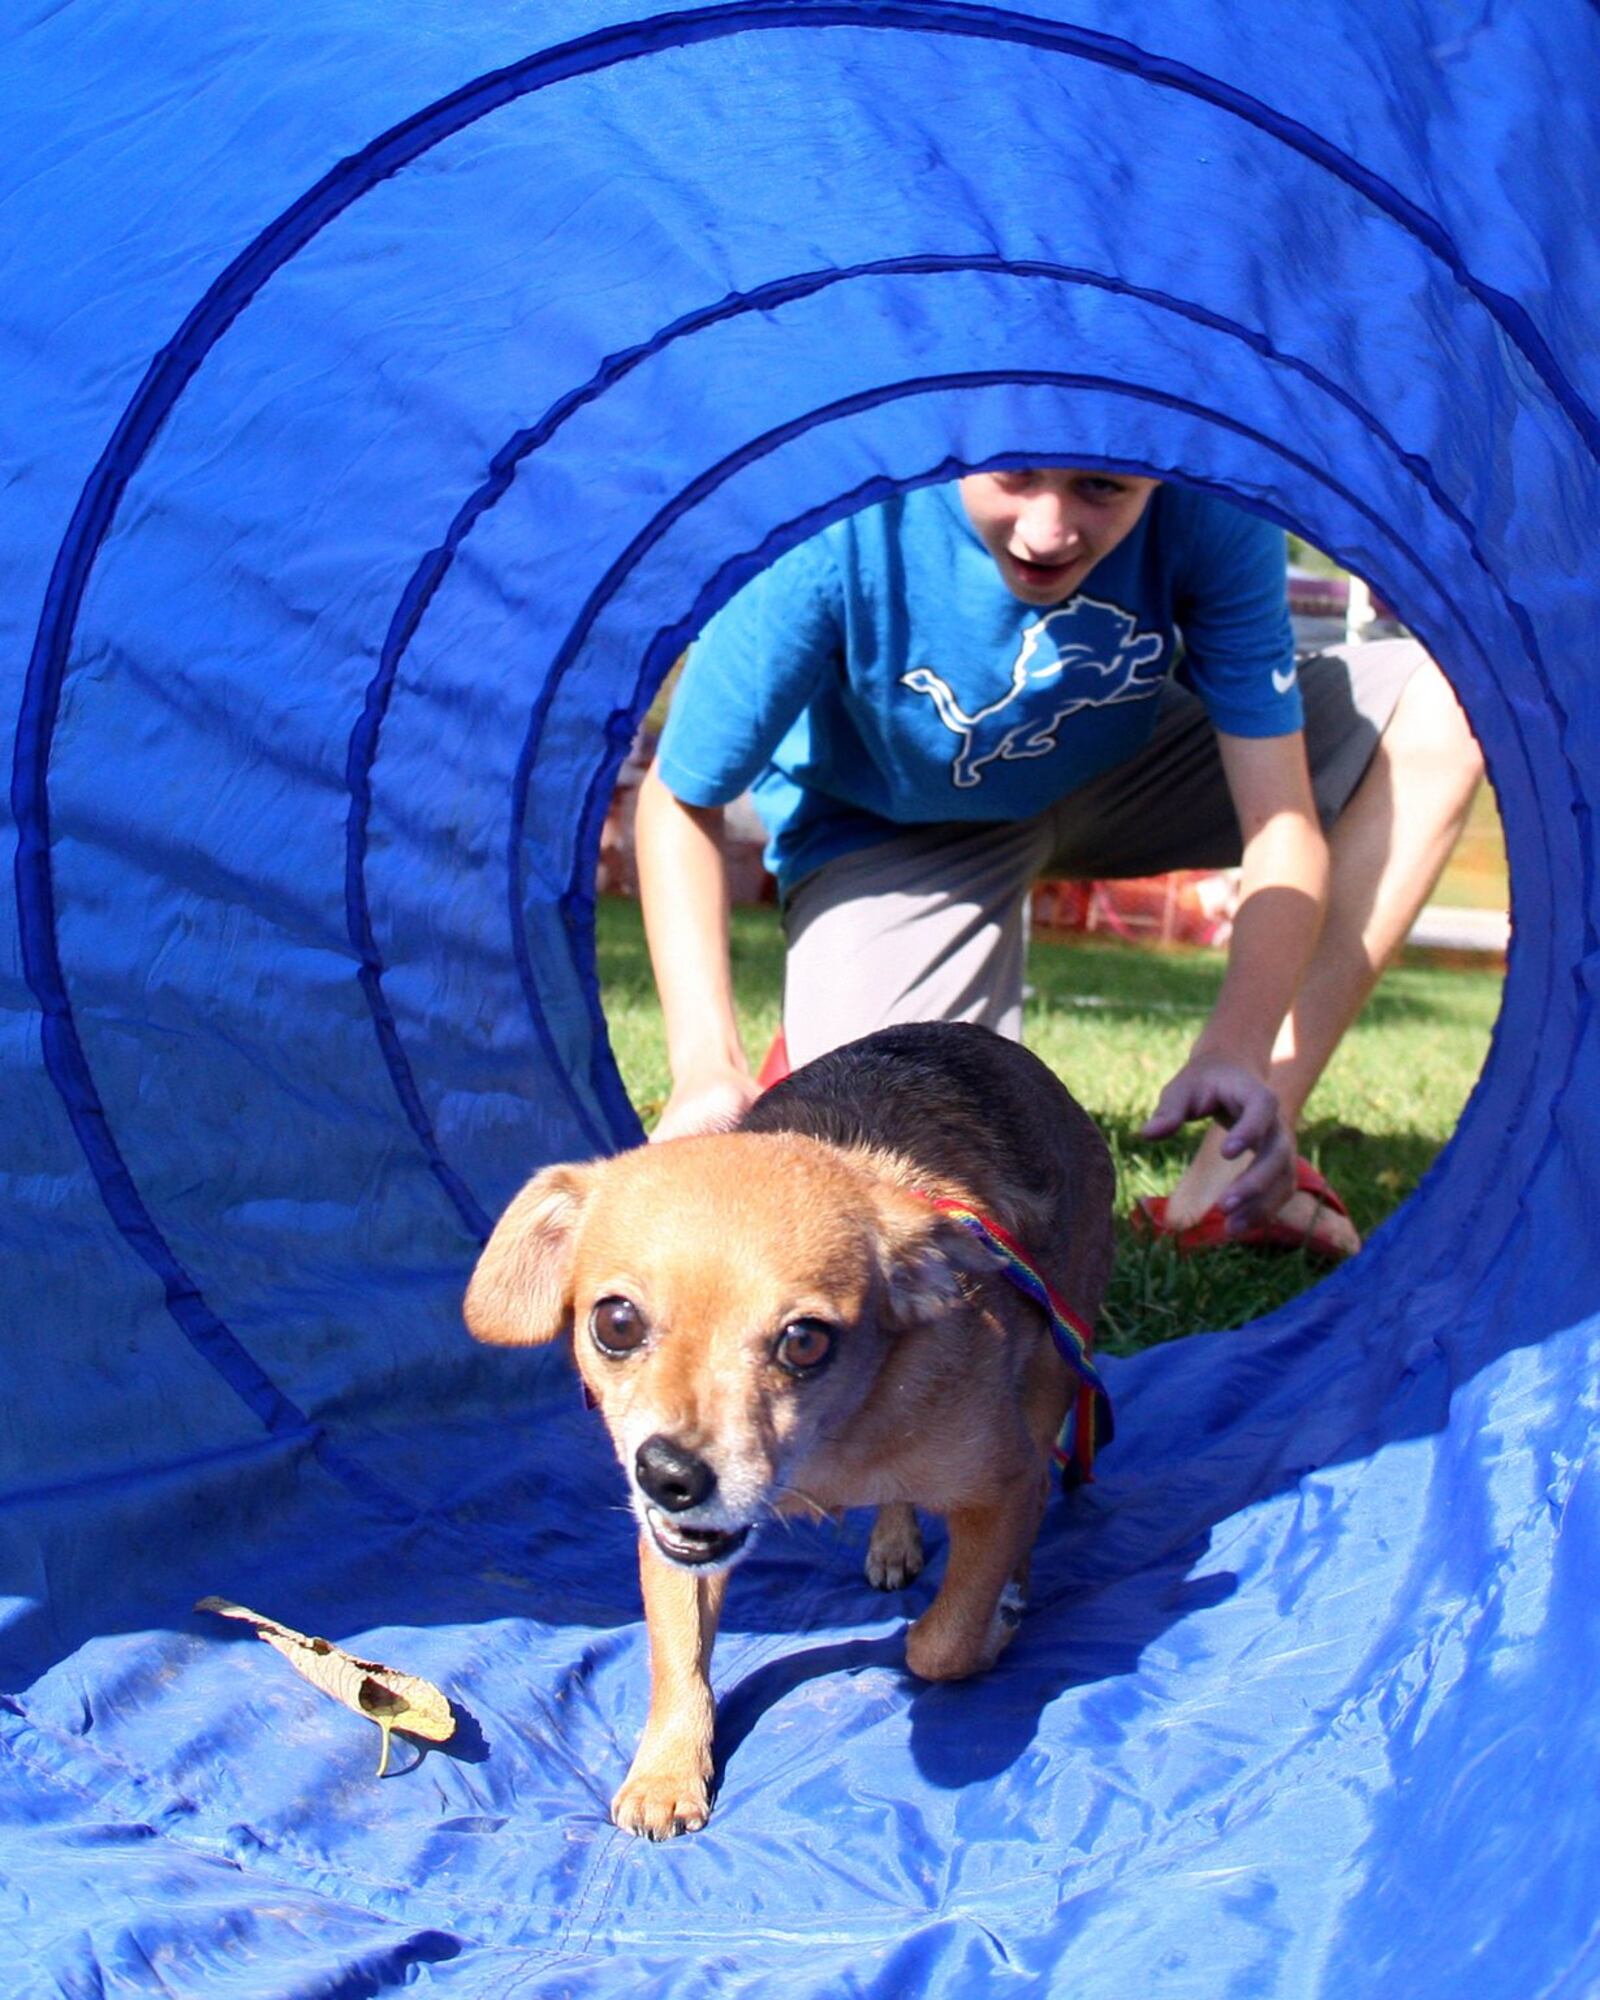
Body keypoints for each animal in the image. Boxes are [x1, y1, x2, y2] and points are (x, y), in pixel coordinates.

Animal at [462, 1024, 1112, 1832]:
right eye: (615, 1323)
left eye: (804, 1342)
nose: (670, 1476)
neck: (832, 1450)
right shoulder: (671, 1548)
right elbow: (678, 1659)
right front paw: (667, 1770)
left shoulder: (1007, 1480)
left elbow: (943, 1644)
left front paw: (988, 1627)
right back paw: (894, 1541)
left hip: (1055, 1368)